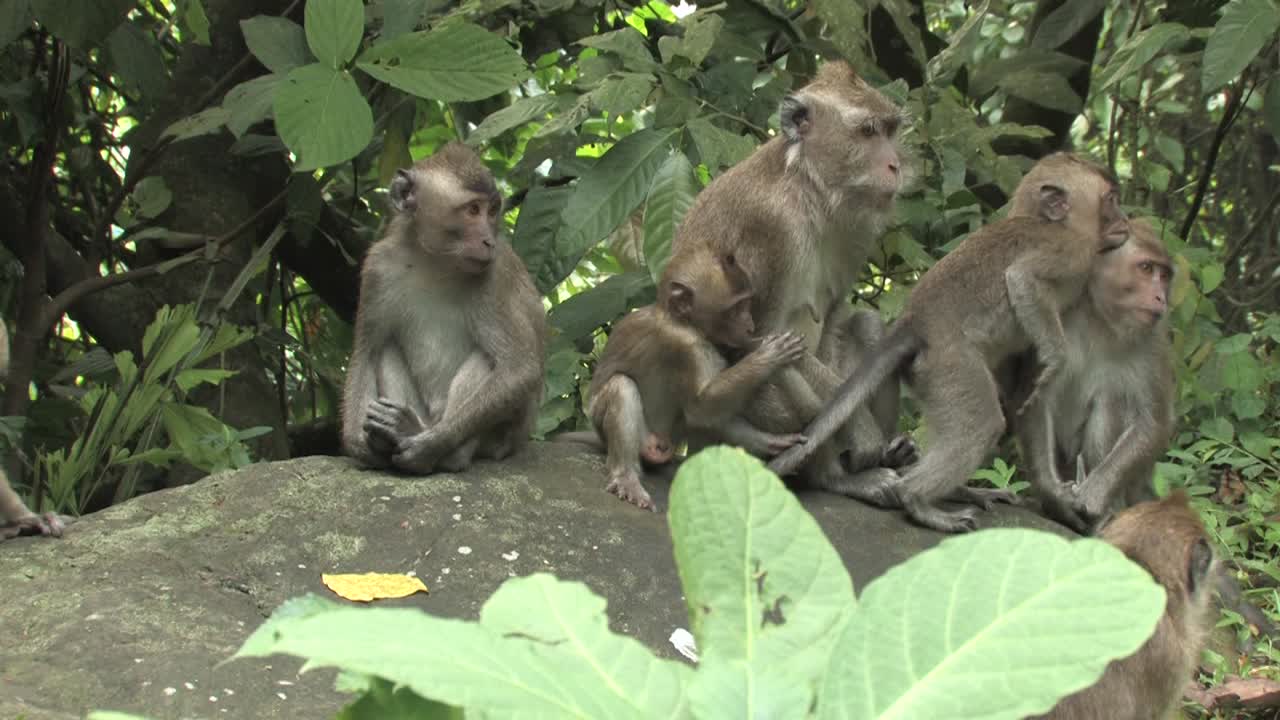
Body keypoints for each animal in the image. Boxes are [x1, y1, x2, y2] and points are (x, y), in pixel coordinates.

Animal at [341, 142, 547, 475]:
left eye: (492, 211)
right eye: (473, 210)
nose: (488, 240)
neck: (434, 262)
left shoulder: (496, 275)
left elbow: (519, 369)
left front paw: (429, 446)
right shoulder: (377, 269)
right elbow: (367, 352)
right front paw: (357, 443)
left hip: (506, 436)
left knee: (489, 359)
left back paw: (436, 448)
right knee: (385, 348)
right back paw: (390, 437)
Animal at [585, 249, 808, 509]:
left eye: (748, 302)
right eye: (737, 308)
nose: (750, 326)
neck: (679, 320)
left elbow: (707, 412)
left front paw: (770, 440)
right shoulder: (687, 346)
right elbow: (701, 405)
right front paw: (768, 357)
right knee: (622, 386)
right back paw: (626, 476)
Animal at [660, 59, 915, 499]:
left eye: (889, 131)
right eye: (867, 132)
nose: (894, 165)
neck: (809, 188)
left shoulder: (859, 230)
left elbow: (833, 318)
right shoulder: (771, 227)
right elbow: (762, 335)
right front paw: (864, 434)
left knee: (866, 324)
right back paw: (836, 478)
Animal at [769, 157, 1131, 533]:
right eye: (1110, 200)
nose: (1126, 220)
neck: (1051, 222)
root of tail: (915, 322)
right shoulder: (1071, 250)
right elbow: (1022, 279)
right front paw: (1055, 361)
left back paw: (960, 491)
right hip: (950, 364)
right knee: (981, 422)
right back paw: (917, 500)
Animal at [1010, 218, 1175, 532]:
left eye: (1164, 275)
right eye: (1146, 268)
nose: (1161, 297)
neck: (1099, 318)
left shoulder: (1154, 339)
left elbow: (1152, 423)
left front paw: (1094, 495)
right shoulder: (1049, 319)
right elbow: (1037, 398)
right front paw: (1054, 495)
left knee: (1112, 400)